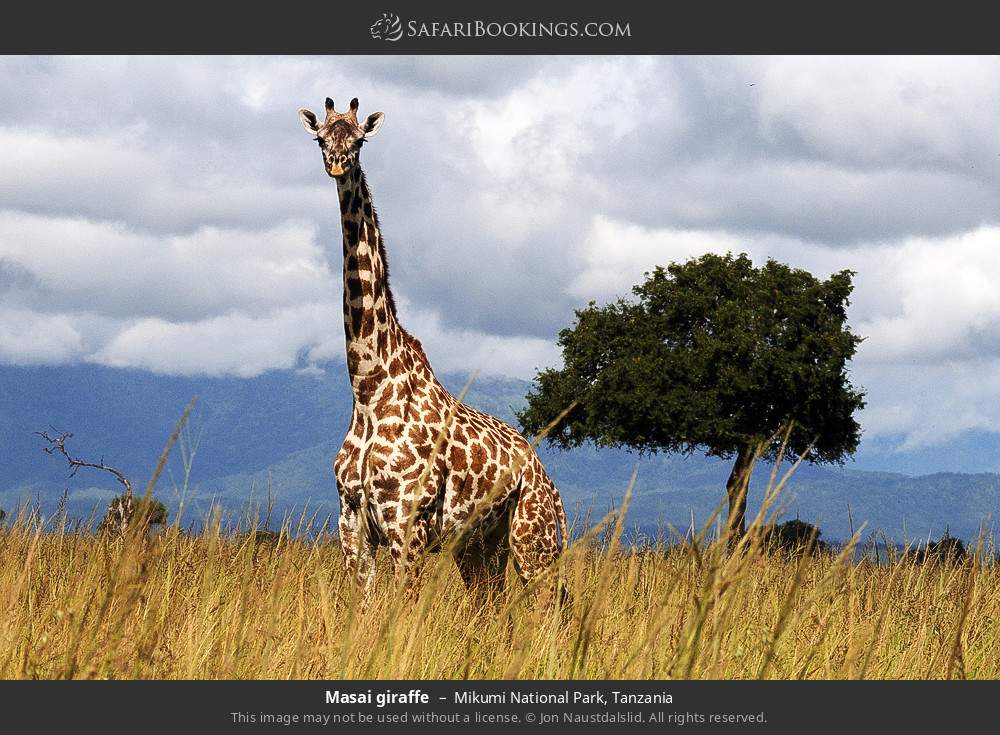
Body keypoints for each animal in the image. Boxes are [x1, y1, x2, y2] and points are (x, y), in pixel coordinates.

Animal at [298, 96, 569, 605]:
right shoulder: (351, 523)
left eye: (359, 140)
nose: (337, 164)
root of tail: (544, 473)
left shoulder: (409, 523)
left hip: (533, 538)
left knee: (550, 605)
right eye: (321, 138)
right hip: (480, 546)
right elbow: (365, 611)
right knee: (491, 606)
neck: (368, 387)